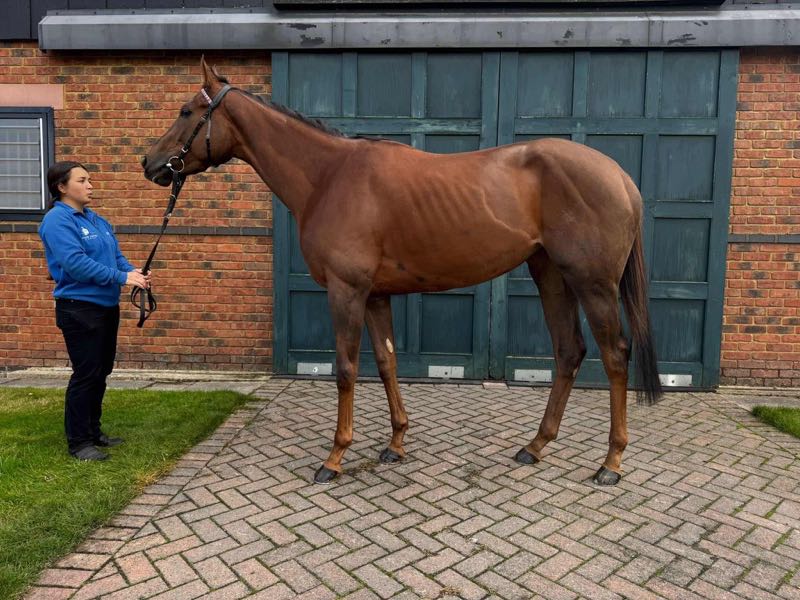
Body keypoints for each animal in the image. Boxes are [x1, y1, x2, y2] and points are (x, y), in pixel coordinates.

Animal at [142, 57, 663, 486]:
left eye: (187, 112)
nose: (149, 163)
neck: (329, 176)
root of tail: (619, 176)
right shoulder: (376, 294)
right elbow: (387, 362)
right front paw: (395, 444)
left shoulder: (346, 291)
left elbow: (347, 370)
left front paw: (334, 458)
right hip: (550, 275)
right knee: (568, 351)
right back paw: (535, 447)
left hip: (593, 284)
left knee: (615, 356)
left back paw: (611, 463)